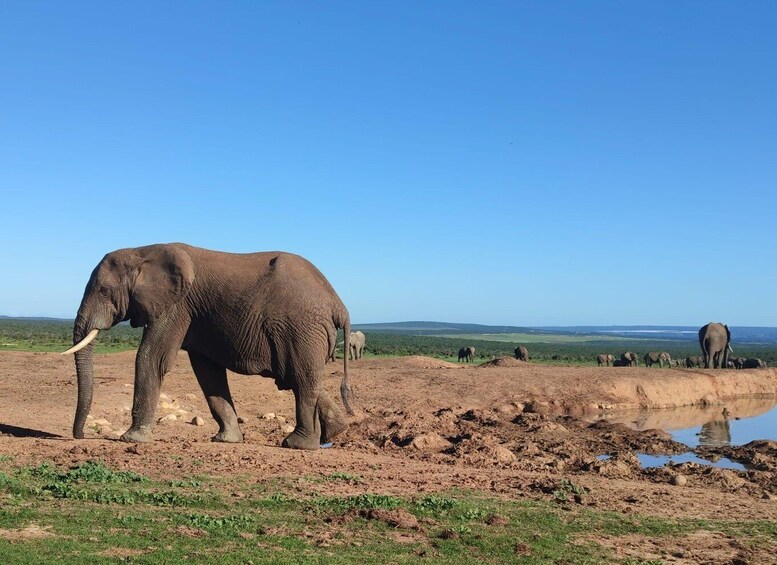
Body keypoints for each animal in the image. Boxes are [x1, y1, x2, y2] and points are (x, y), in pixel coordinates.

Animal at [63, 242, 354, 450]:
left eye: (103, 291)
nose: (80, 436)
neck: (142, 250)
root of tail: (338, 304)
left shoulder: (176, 305)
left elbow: (152, 358)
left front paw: (131, 439)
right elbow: (207, 372)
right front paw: (226, 440)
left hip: (301, 328)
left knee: (302, 380)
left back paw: (298, 444)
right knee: (300, 377)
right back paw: (334, 433)